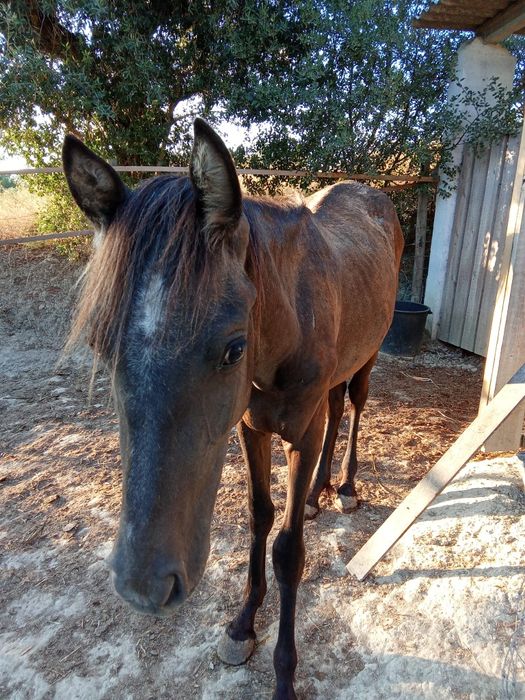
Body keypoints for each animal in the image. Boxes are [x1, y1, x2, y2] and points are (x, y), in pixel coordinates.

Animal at [63, 119, 403, 699]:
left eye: (233, 349)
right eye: (100, 344)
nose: (144, 585)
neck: (290, 318)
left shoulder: (299, 436)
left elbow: (288, 551)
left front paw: (284, 673)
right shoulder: (251, 429)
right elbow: (258, 517)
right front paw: (243, 624)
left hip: (369, 355)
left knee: (355, 407)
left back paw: (345, 487)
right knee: (337, 409)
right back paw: (318, 494)